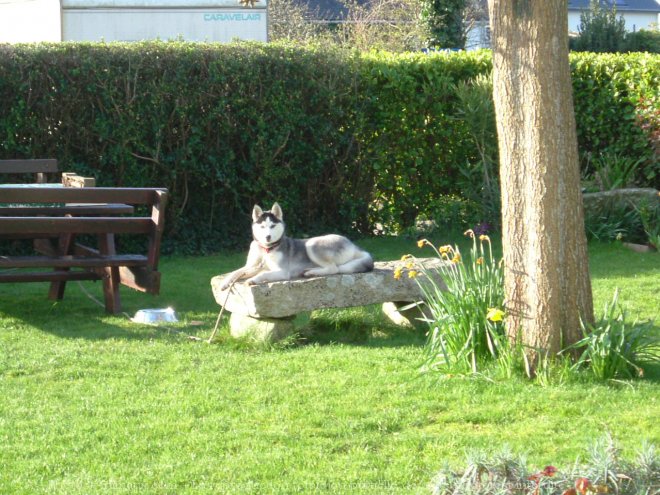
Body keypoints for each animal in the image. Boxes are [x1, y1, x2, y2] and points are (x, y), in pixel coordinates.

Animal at [220, 203, 374, 290]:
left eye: (273, 226)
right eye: (262, 226)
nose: (267, 237)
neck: (266, 249)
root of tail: (353, 244)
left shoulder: (282, 272)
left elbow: (263, 274)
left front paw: (253, 280)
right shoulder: (252, 266)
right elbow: (235, 272)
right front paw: (225, 282)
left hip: (312, 243)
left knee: (334, 269)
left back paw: (312, 272)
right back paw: (310, 271)